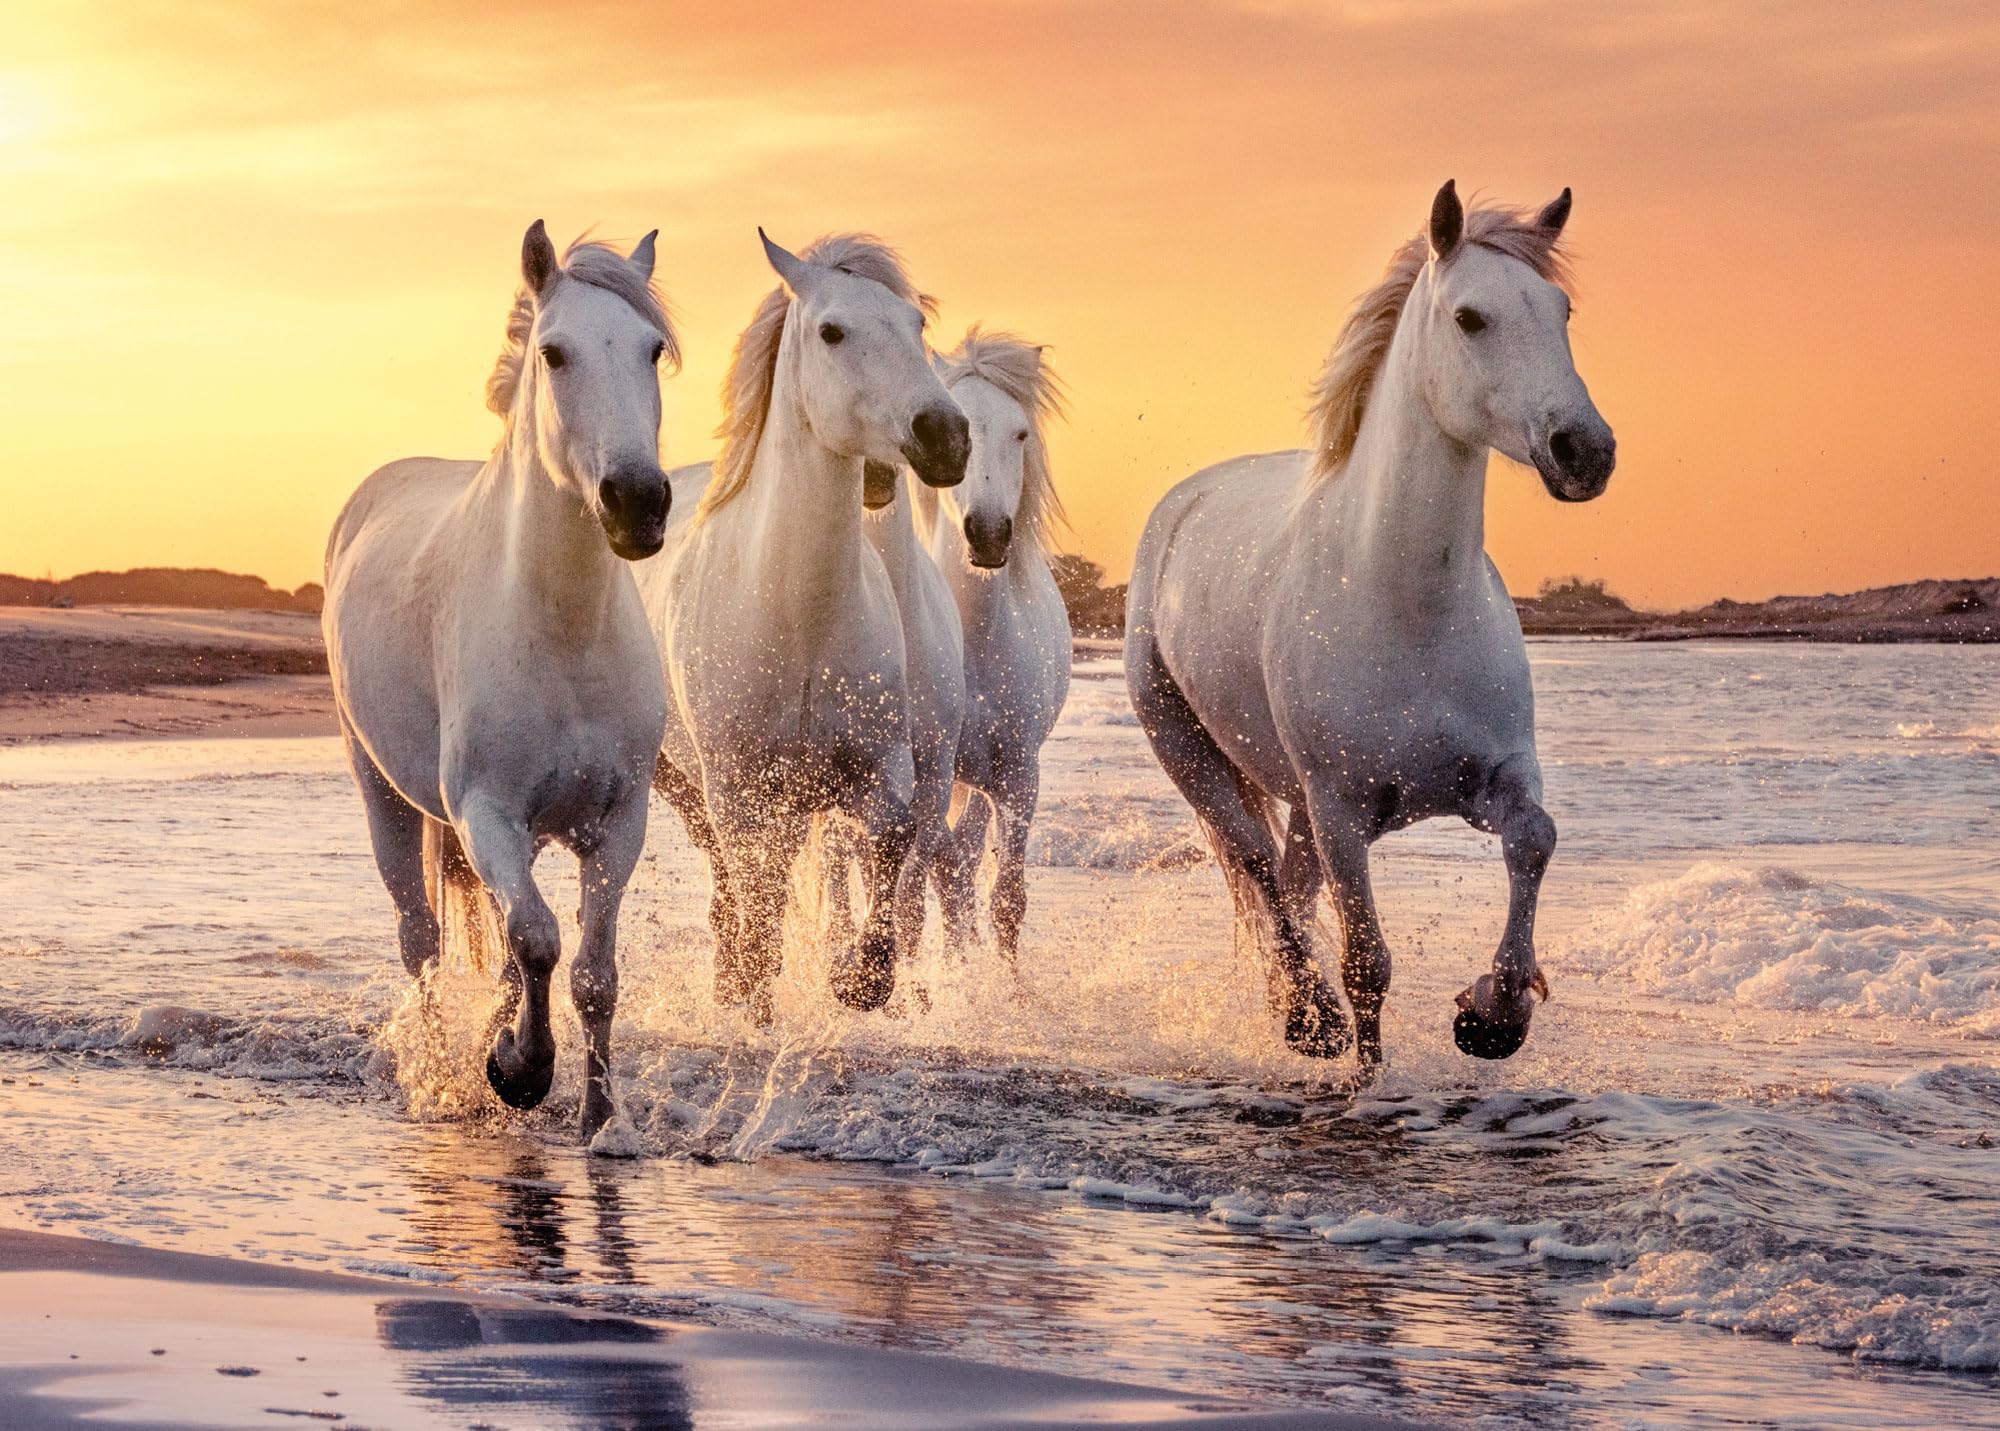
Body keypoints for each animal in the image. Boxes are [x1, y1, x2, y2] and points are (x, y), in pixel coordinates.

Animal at [324, 223, 675, 1141]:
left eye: (653, 350)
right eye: (554, 353)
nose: (638, 501)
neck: (562, 631)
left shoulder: (618, 820)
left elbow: (589, 970)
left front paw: (599, 1117)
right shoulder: (486, 810)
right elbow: (541, 940)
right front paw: (519, 1070)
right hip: (384, 793)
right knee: (422, 940)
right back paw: (444, 1074)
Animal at [635, 231, 969, 1020]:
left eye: (916, 325)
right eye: (831, 332)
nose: (945, 435)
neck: (800, 618)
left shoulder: (882, 770)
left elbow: (890, 846)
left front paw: (859, 979)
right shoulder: (737, 789)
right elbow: (757, 899)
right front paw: (755, 996)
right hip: (686, 784)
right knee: (735, 886)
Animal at [913, 328, 1072, 964]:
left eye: (1021, 433)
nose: (987, 534)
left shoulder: (1019, 776)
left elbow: (1005, 898)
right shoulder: (924, 778)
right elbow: (945, 878)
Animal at [1123, 181, 1616, 1067]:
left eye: (1561, 309)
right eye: (1470, 317)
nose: (1584, 450)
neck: (1407, 609)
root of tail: (1180, 506)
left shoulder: (1495, 778)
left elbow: (1535, 838)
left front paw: (1493, 1012)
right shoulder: (1343, 811)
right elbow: (1367, 966)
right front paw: (1368, 1067)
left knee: (1287, 883)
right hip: (1191, 752)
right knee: (1257, 866)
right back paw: (1307, 1016)